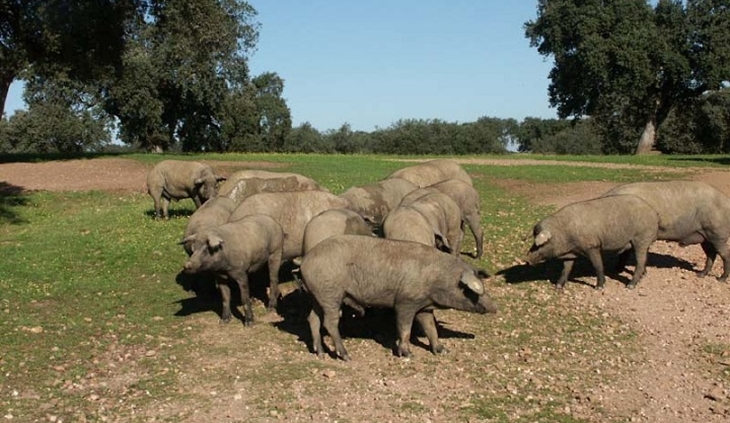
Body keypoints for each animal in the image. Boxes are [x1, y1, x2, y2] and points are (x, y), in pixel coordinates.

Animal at [298, 235, 498, 362]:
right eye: (471, 291)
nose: (495, 307)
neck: (436, 279)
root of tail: (305, 262)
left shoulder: (424, 306)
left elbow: (431, 328)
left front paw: (443, 350)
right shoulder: (405, 302)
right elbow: (405, 328)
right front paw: (408, 354)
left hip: (318, 296)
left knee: (313, 319)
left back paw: (320, 353)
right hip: (331, 294)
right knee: (329, 323)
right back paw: (346, 356)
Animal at [520, 196, 656, 292]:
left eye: (541, 244)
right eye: (534, 242)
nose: (525, 259)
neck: (565, 234)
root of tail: (652, 211)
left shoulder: (592, 246)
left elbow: (598, 266)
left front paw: (599, 287)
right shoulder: (572, 253)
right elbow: (566, 269)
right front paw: (558, 287)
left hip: (641, 239)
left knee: (640, 262)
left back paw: (630, 286)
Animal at [600, 180, 728, 282]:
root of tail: (725, 199)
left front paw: (618, 270)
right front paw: (620, 269)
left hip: (717, 234)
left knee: (725, 254)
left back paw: (721, 279)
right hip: (705, 236)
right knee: (711, 254)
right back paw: (701, 274)